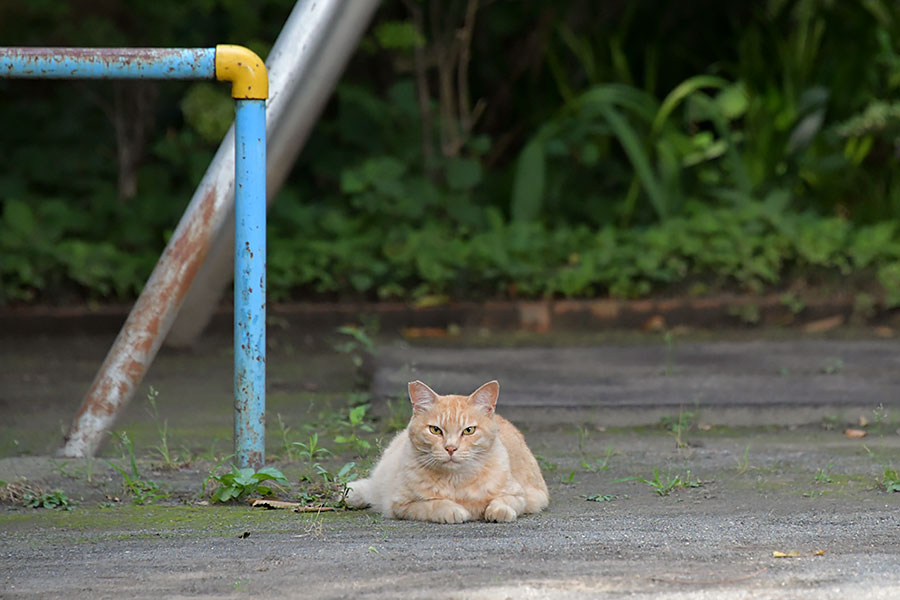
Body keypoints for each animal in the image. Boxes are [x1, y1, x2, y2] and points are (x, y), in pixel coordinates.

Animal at [346, 382, 548, 524]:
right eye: (435, 430)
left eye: (469, 430)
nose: (451, 448)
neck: (457, 481)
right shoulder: (400, 505)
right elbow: (433, 504)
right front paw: (453, 510)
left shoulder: (523, 495)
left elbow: (504, 500)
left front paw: (499, 511)